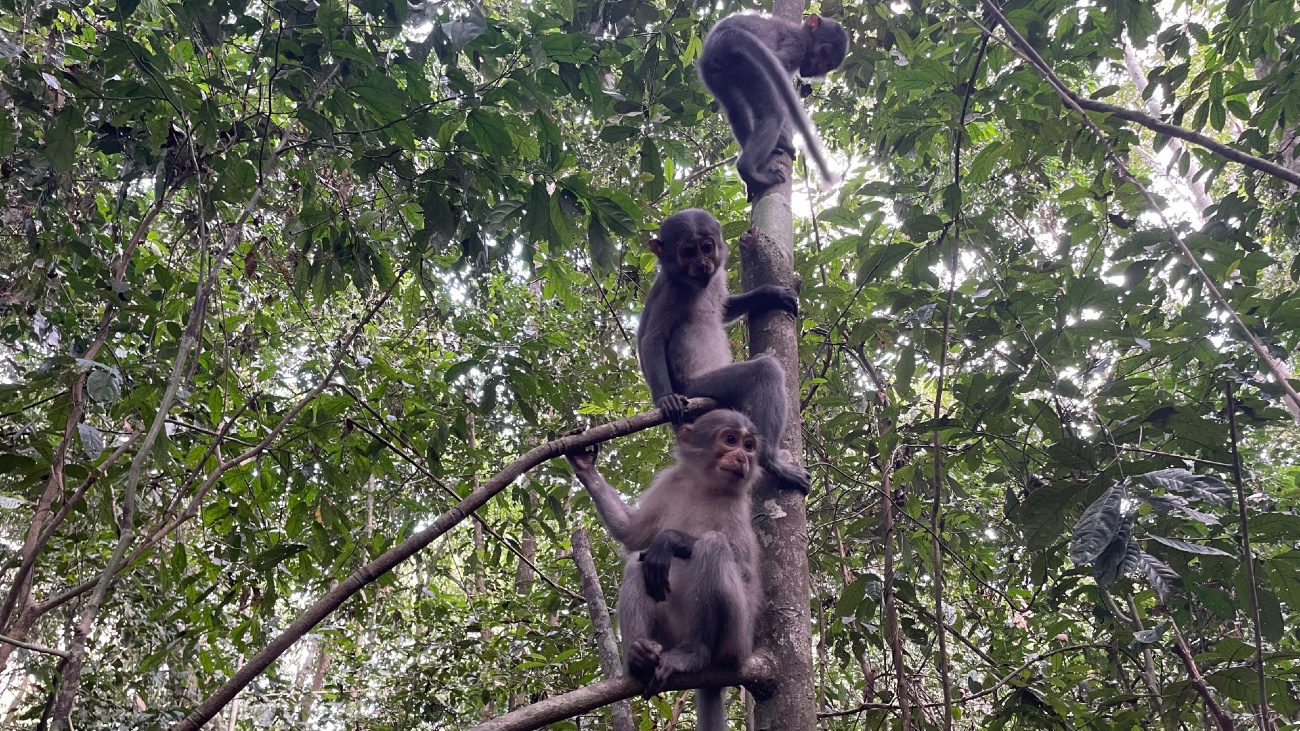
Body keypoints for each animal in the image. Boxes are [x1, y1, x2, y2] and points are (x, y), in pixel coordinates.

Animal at [566, 405, 764, 728]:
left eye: (749, 446)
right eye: (731, 440)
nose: (743, 458)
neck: (704, 486)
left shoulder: (738, 505)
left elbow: (746, 572)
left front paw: (671, 539)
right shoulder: (671, 482)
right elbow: (633, 535)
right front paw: (585, 467)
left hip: (737, 640)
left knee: (712, 546)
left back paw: (694, 654)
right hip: (668, 636)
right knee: (640, 563)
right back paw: (639, 658)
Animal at [634, 208, 806, 489]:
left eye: (706, 247)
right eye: (688, 251)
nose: (702, 264)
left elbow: (724, 309)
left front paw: (770, 294)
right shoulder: (672, 291)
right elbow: (653, 339)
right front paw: (665, 399)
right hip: (699, 388)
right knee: (765, 370)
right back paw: (770, 460)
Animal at [696, 12, 847, 199]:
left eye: (828, 64)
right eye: (823, 53)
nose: (814, 71)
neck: (802, 34)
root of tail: (722, 37)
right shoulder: (796, 46)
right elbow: (780, 63)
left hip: (714, 76)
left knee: (736, 113)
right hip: (752, 70)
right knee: (772, 115)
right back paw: (749, 169)